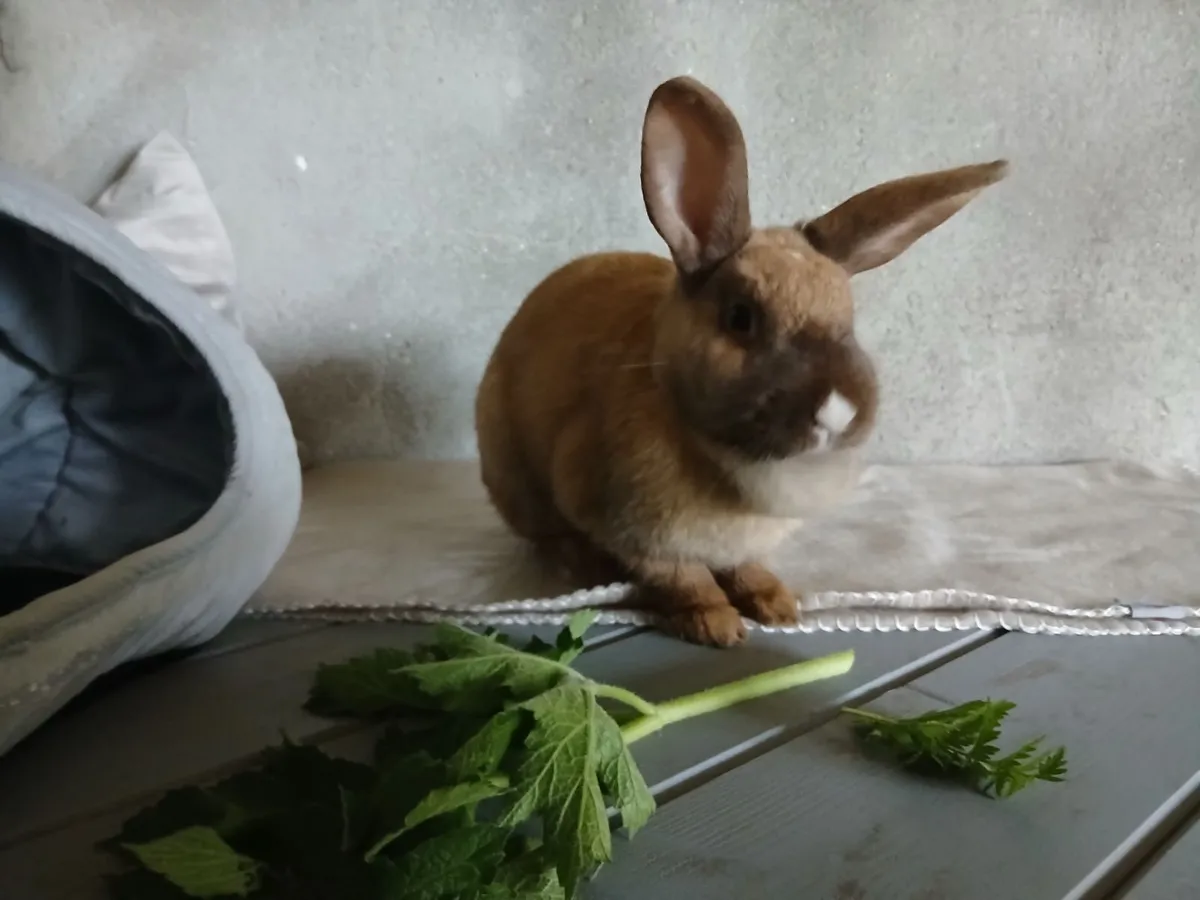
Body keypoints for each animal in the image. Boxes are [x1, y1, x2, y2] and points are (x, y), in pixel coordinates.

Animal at [475, 75, 1008, 647]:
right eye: (740, 318)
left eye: (849, 319)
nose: (838, 410)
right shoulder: (634, 532)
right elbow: (685, 579)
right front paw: (718, 625)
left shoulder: (740, 544)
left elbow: (744, 568)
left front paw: (777, 604)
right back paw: (580, 563)